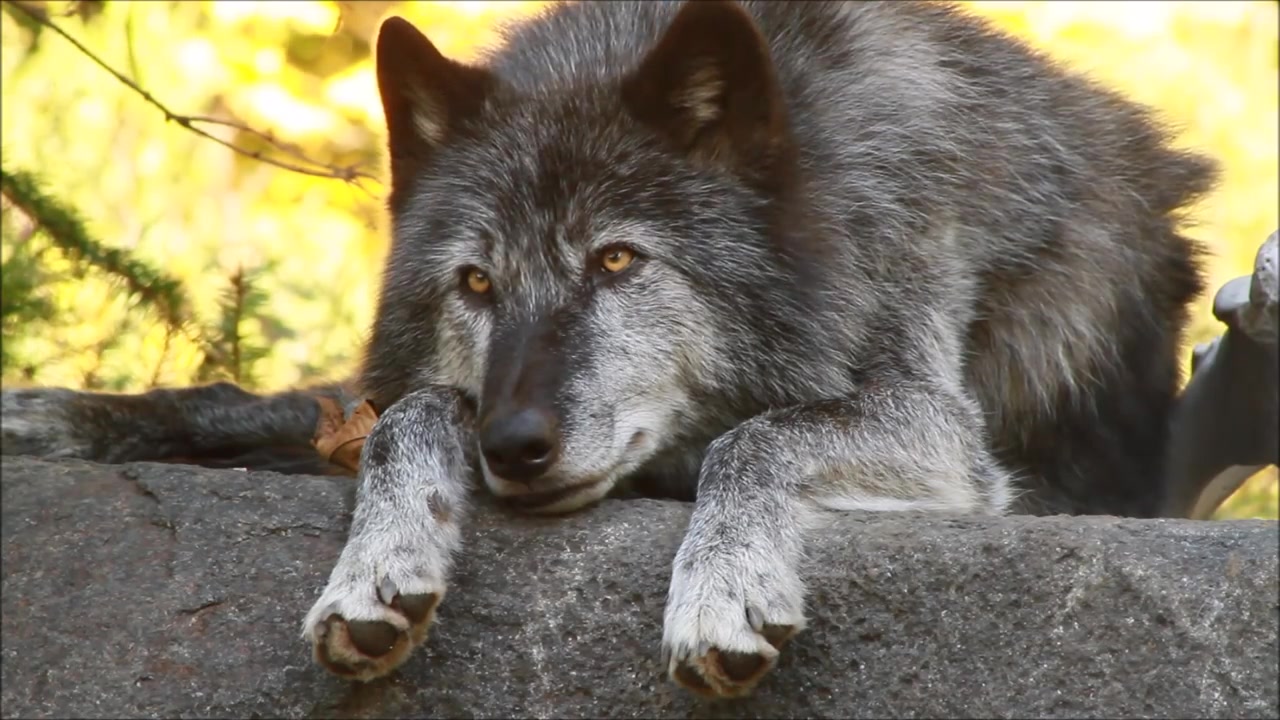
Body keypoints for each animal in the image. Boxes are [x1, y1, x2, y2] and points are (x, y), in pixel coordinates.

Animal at [1, 0, 1229, 698]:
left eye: (618, 262)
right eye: (476, 283)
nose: (514, 447)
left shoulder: (944, 436)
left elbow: (754, 434)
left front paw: (721, 588)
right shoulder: (411, 389)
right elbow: (389, 411)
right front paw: (377, 561)